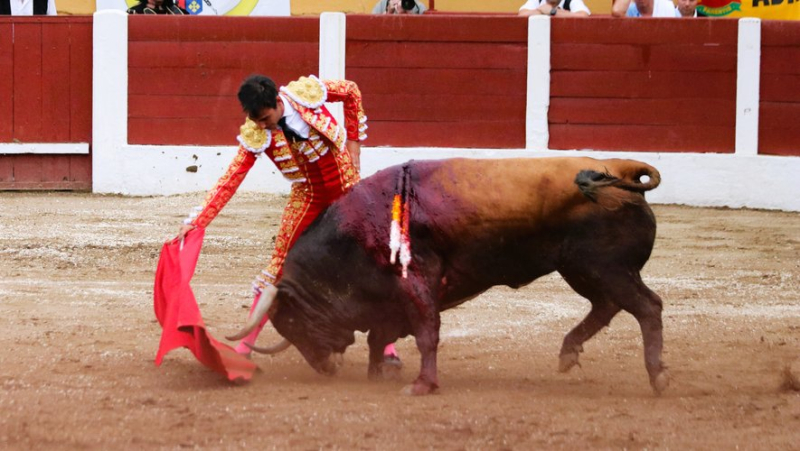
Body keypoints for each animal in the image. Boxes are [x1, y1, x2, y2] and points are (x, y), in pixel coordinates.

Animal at [230, 158, 668, 396]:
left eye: (290, 321)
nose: (326, 368)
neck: (355, 232)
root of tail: (622, 171)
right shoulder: (390, 302)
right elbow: (377, 339)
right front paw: (376, 376)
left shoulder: (415, 280)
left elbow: (426, 333)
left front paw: (422, 385)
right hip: (585, 270)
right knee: (607, 306)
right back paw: (568, 353)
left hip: (605, 268)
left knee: (647, 306)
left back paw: (658, 375)